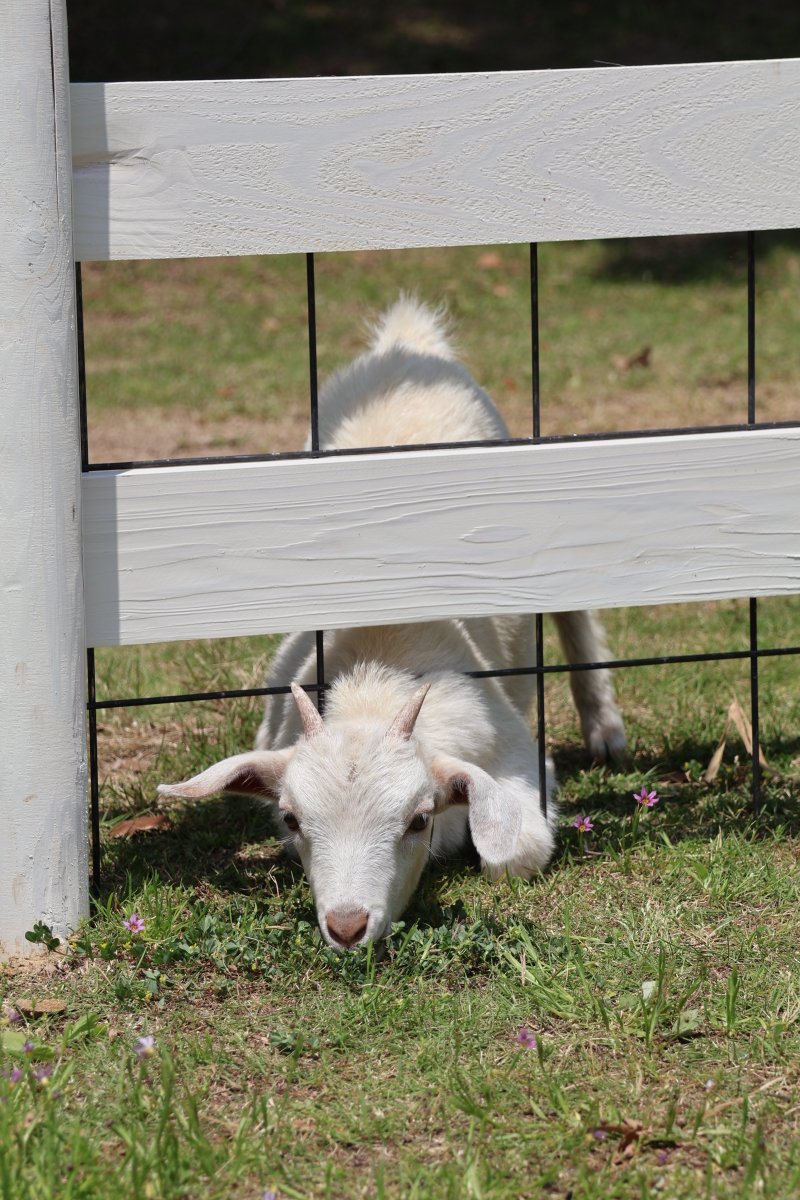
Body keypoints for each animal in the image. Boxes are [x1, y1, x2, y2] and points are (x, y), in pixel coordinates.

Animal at [159, 299, 625, 951]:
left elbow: (515, 853)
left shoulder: (514, 755)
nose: (347, 925)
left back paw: (604, 727)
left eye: (418, 818)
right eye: (292, 818)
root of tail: (407, 347)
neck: (374, 679)